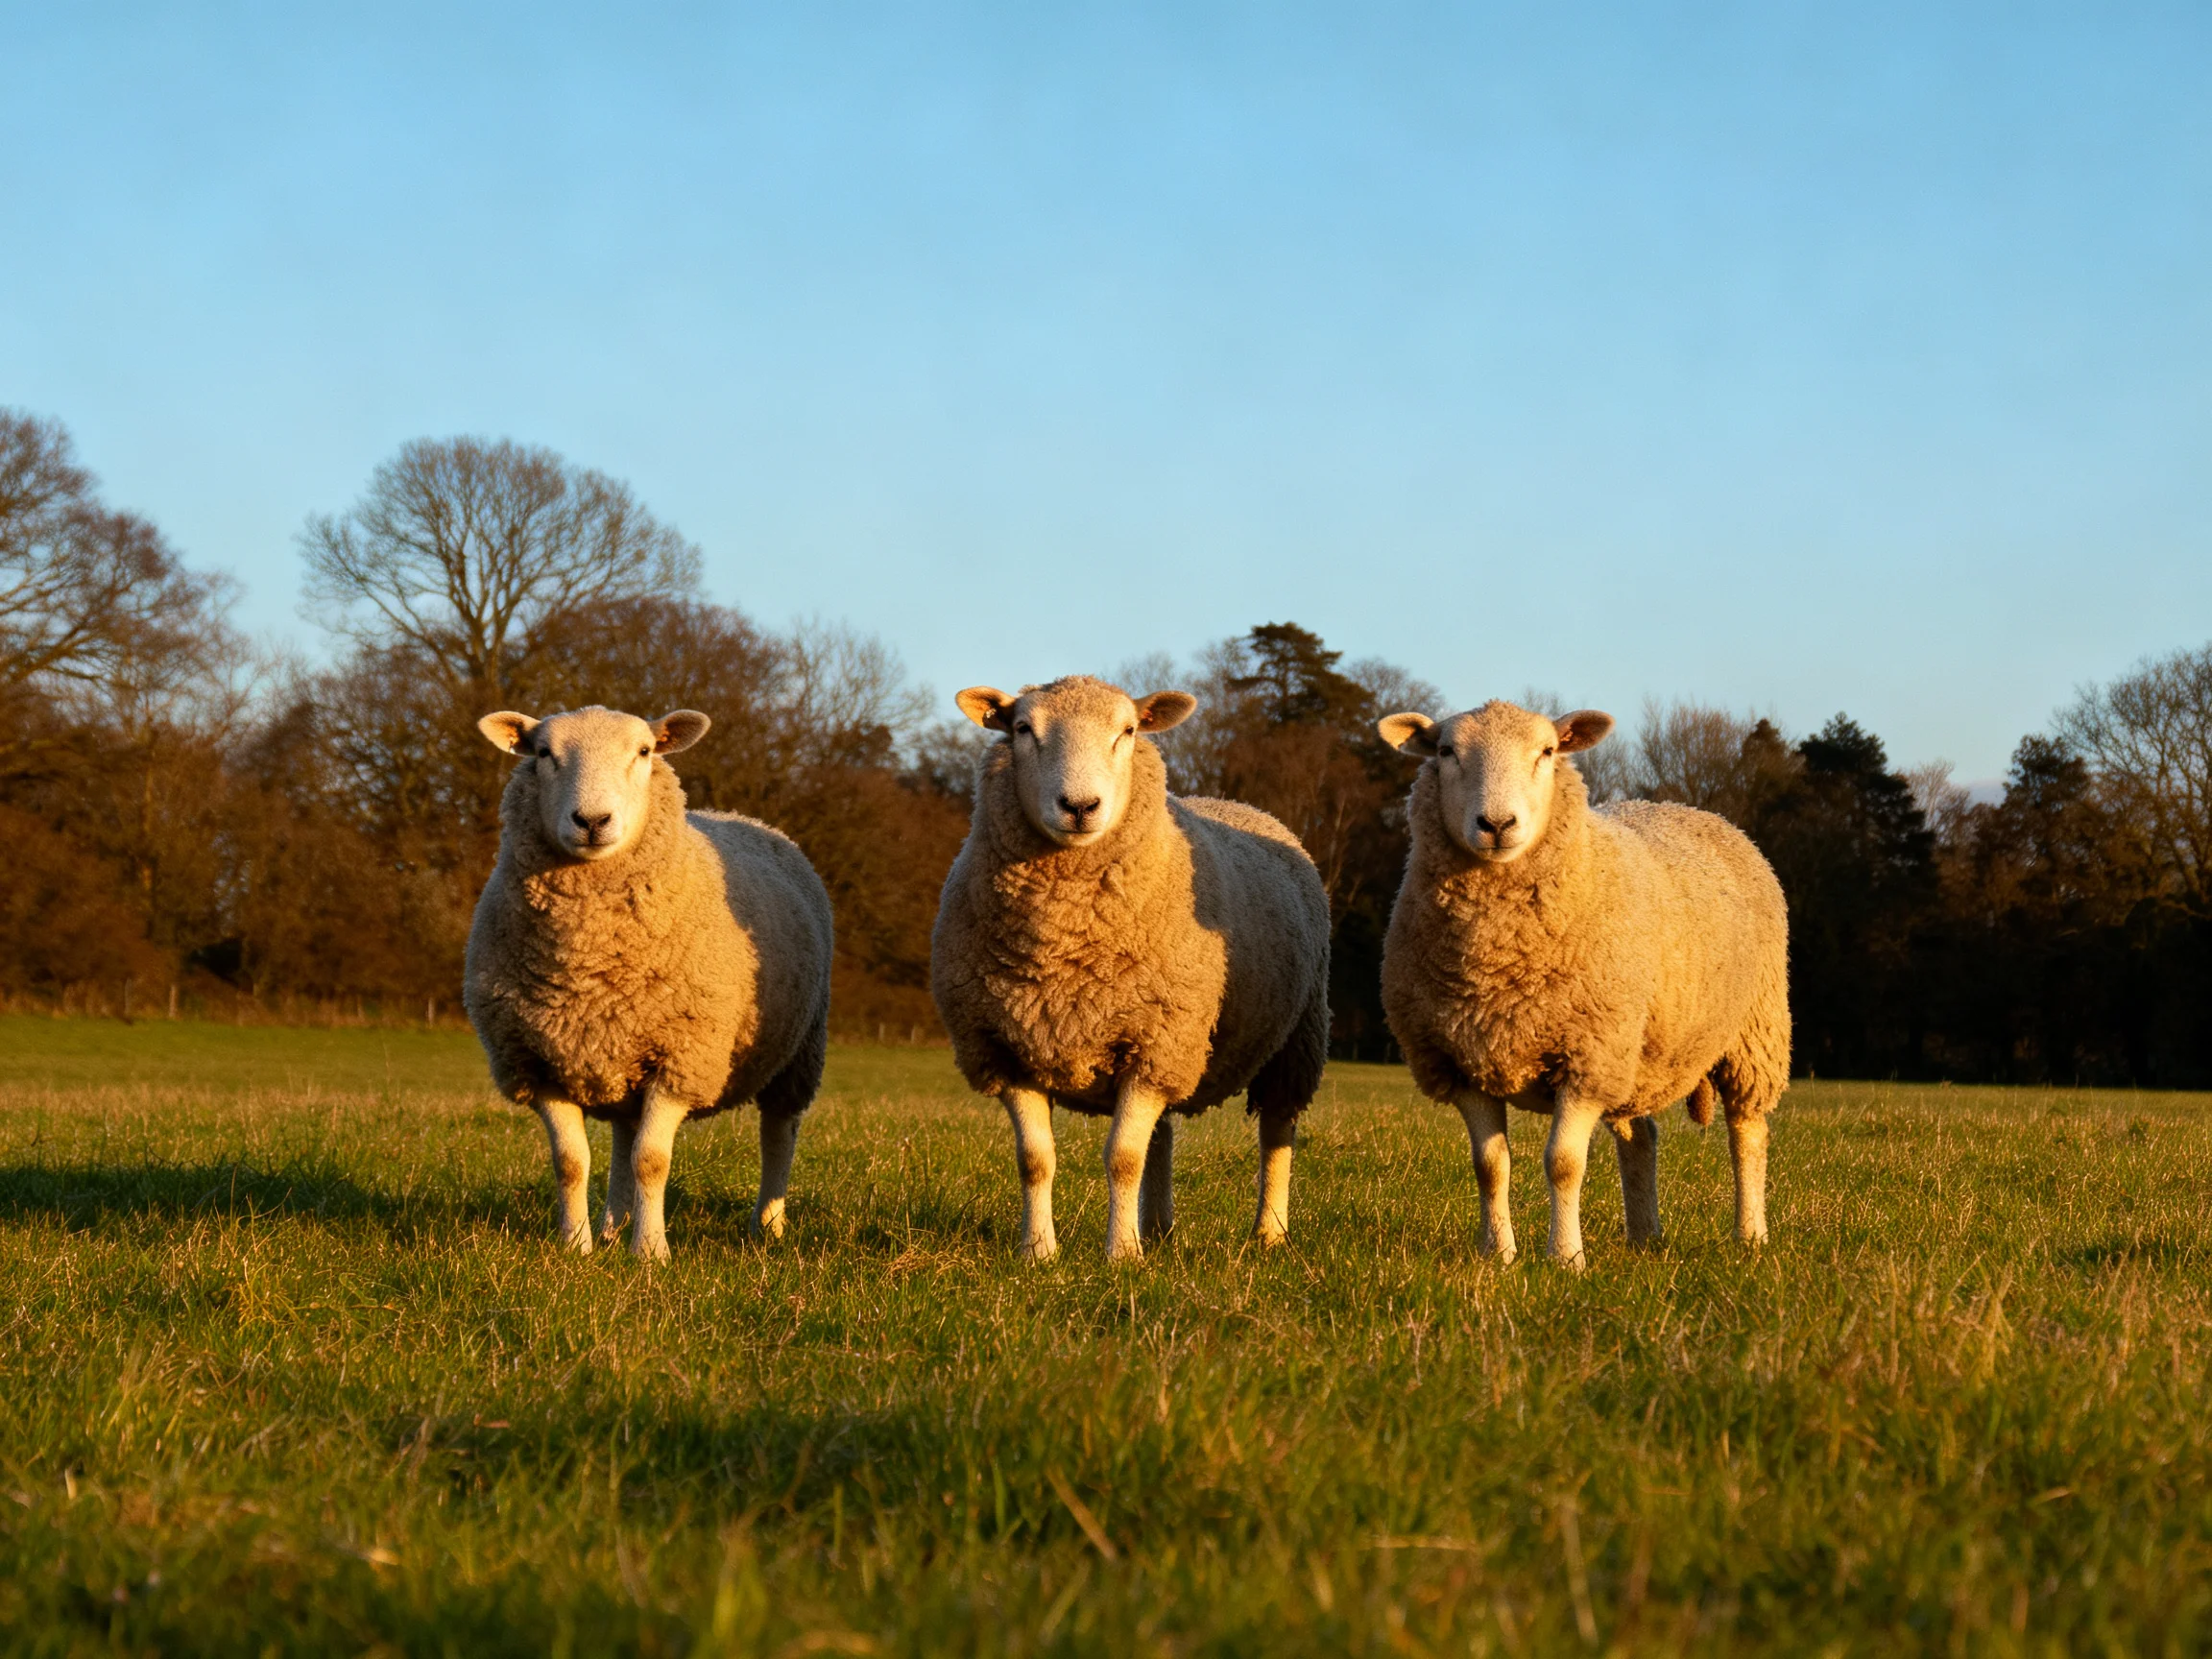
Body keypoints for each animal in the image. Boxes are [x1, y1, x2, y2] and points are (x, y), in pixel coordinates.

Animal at [465, 704, 834, 1261]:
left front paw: (651, 1251)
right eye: (543, 753)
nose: (592, 821)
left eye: (643, 751)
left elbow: (651, 1161)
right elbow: (571, 1162)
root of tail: (748, 819)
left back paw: (767, 1226)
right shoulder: (537, 1061)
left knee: (778, 1134)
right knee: (624, 1133)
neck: (586, 965)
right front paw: (575, 1246)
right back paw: (611, 1225)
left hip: (799, 1052)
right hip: (620, 1061)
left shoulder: (681, 1057)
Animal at [931, 675, 1332, 1262]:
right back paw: (1159, 1228)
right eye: (1023, 728)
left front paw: (1120, 1254)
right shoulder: (1007, 1051)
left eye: (1127, 731)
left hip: (1293, 1040)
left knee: (1277, 1133)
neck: (1062, 945)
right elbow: (1036, 1161)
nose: (1079, 806)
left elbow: (1122, 1158)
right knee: (1161, 1136)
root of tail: (1238, 804)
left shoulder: (1156, 1043)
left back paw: (1270, 1231)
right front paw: (1038, 1252)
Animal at [1375, 699, 1789, 1266]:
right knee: (1641, 1134)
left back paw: (1750, 1235)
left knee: (1747, 1134)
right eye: (1445, 751)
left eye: (1548, 752)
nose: (1497, 823)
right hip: (1634, 1053)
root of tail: (1700, 812)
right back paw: (1645, 1235)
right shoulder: (1462, 1062)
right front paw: (1498, 1255)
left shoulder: (1587, 1058)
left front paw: (1566, 1257)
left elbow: (1563, 1164)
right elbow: (1490, 1167)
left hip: (1752, 1034)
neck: (1495, 963)